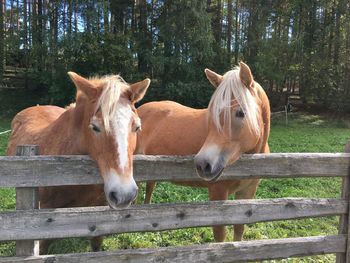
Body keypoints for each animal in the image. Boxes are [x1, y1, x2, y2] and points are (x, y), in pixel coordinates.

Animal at [135, 62, 270, 243]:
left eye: (241, 113)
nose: (202, 164)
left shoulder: (247, 192)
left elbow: (239, 228)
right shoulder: (218, 194)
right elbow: (220, 235)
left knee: (149, 188)